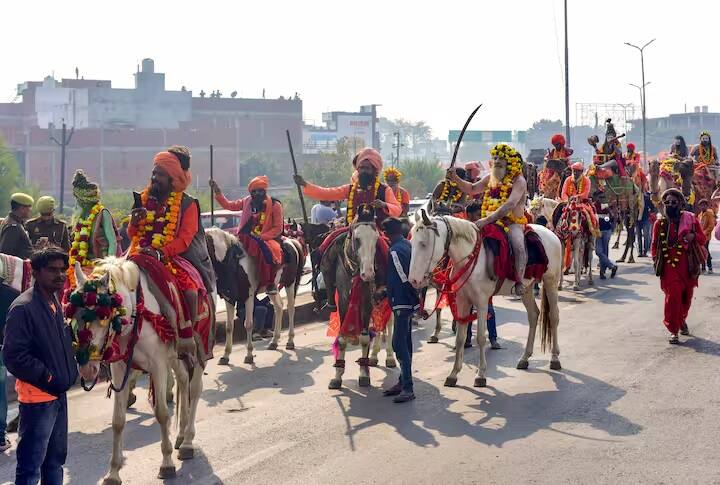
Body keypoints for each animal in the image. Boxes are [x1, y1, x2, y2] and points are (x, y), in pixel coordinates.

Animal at [73, 260, 204, 482]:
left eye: (103, 315)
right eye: (76, 315)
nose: (87, 368)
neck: (135, 314)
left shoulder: (158, 365)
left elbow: (161, 413)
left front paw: (166, 463)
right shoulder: (119, 368)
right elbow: (118, 421)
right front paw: (113, 472)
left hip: (195, 348)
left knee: (194, 389)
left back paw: (187, 442)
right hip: (175, 357)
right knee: (183, 378)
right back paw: (181, 436)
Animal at [205, 227, 300, 364]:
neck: (232, 261)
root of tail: (291, 241)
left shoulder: (248, 296)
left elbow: (249, 324)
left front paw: (249, 354)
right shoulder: (229, 298)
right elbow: (229, 326)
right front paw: (225, 355)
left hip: (289, 282)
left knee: (291, 308)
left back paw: (290, 341)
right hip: (272, 288)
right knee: (279, 307)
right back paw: (274, 341)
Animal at [408, 211, 564, 386]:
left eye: (423, 244)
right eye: (412, 242)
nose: (414, 280)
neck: (469, 257)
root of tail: (551, 234)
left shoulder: (482, 303)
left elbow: (481, 337)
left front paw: (481, 374)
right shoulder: (463, 301)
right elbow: (460, 338)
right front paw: (453, 374)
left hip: (551, 281)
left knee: (554, 316)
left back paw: (555, 358)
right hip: (527, 287)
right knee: (533, 315)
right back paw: (525, 358)